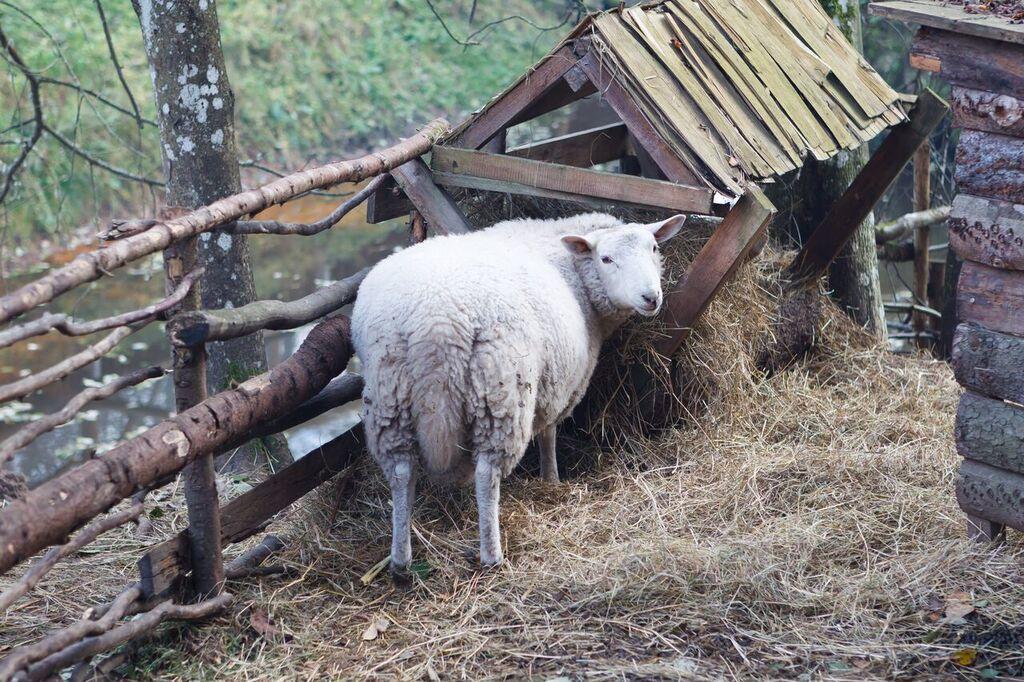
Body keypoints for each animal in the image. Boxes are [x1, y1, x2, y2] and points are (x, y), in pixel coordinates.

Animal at [348, 209, 684, 577]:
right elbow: (549, 433)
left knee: (400, 472)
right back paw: (492, 554)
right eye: (606, 258)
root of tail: (436, 324)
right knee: (486, 474)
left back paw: (400, 561)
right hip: (500, 391)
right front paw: (551, 479)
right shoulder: (559, 385)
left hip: (390, 393)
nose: (650, 297)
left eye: (654, 248)